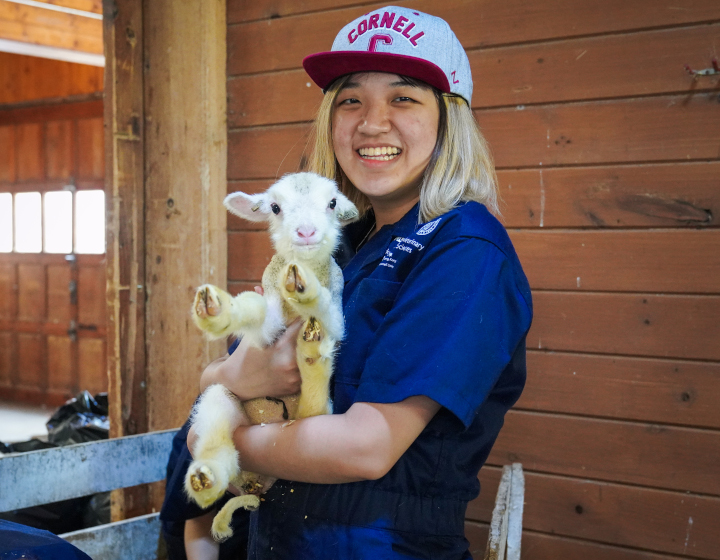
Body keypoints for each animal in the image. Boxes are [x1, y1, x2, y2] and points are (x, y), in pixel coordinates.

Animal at [183, 173, 358, 540]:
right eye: (275, 207)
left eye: (332, 203)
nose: (305, 232)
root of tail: (257, 482)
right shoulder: (269, 324)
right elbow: (256, 307)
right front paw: (221, 310)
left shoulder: (337, 318)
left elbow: (325, 310)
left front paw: (307, 288)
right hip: (222, 401)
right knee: (220, 446)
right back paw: (207, 478)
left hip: (320, 416)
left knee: (314, 404)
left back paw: (311, 355)